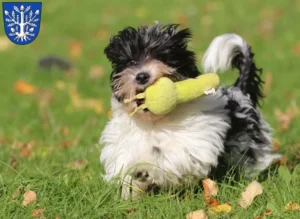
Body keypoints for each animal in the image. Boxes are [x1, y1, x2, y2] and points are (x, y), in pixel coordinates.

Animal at [99, 23, 280, 198]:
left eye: (162, 57)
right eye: (130, 61)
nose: (142, 76)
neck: (155, 121)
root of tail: (239, 89)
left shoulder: (192, 145)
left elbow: (166, 157)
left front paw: (144, 169)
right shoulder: (124, 144)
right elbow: (124, 163)